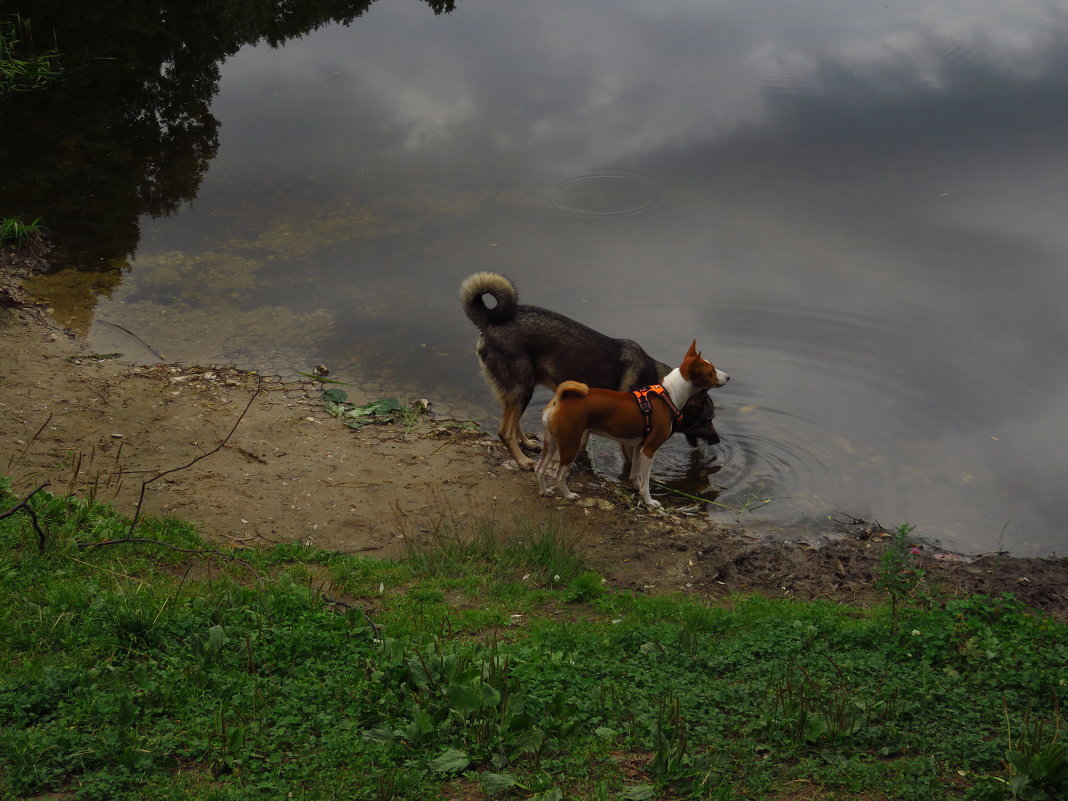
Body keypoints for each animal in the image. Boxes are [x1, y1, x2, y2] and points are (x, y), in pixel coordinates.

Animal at [534, 339, 726, 508]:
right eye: (711, 371)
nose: (729, 377)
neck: (668, 395)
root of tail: (559, 400)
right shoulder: (649, 449)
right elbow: (646, 482)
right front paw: (649, 501)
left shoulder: (638, 446)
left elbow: (634, 473)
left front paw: (636, 488)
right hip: (570, 445)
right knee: (559, 475)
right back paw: (568, 495)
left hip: (551, 443)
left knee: (539, 468)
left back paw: (544, 491)